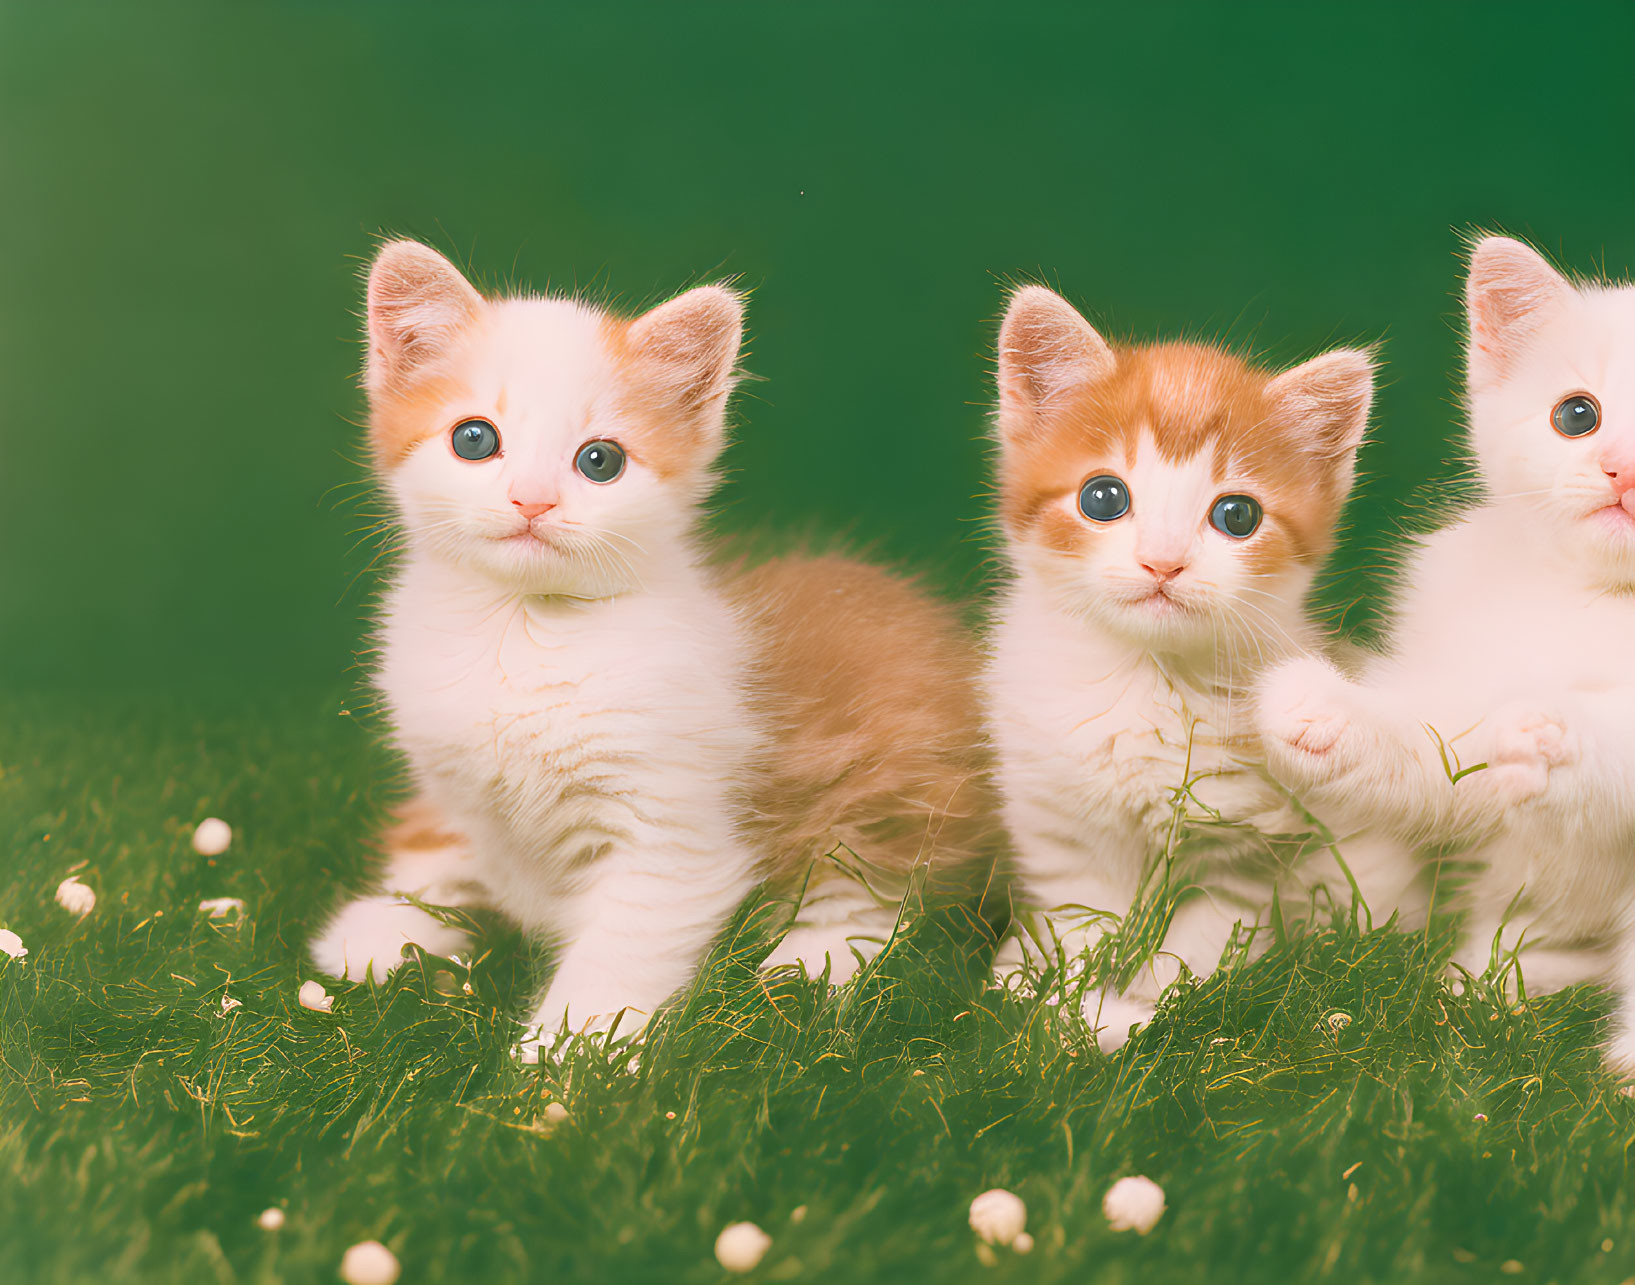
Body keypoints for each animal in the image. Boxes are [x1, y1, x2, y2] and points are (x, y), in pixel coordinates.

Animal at [307, 237, 994, 1052]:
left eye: (598, 460)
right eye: (474, 439)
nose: (532, 499)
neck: (523, 631)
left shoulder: (674, 835)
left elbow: (618, 950)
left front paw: (565, 1053)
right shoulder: (451, 768)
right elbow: (443, 842)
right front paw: (389, 922)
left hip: (899, 770)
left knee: (880, 885)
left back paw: (805, 967)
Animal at [974, 286, 1412, 1046]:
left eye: (1237, 515)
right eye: (1102, 497)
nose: (1163, 561)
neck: (1142, 678)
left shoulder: (1252, 844)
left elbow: (1199, 945)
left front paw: (1141, 1014)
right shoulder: (1062, 830)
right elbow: (1078, 921)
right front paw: (1059, 1003)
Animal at [1255, 237, 1635, 1072]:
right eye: (1576, 416)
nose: (1619, 469)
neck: (1600, 599)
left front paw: (1550, 734)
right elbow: (1440, 751)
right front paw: (1324, 714)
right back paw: (1495, 981)